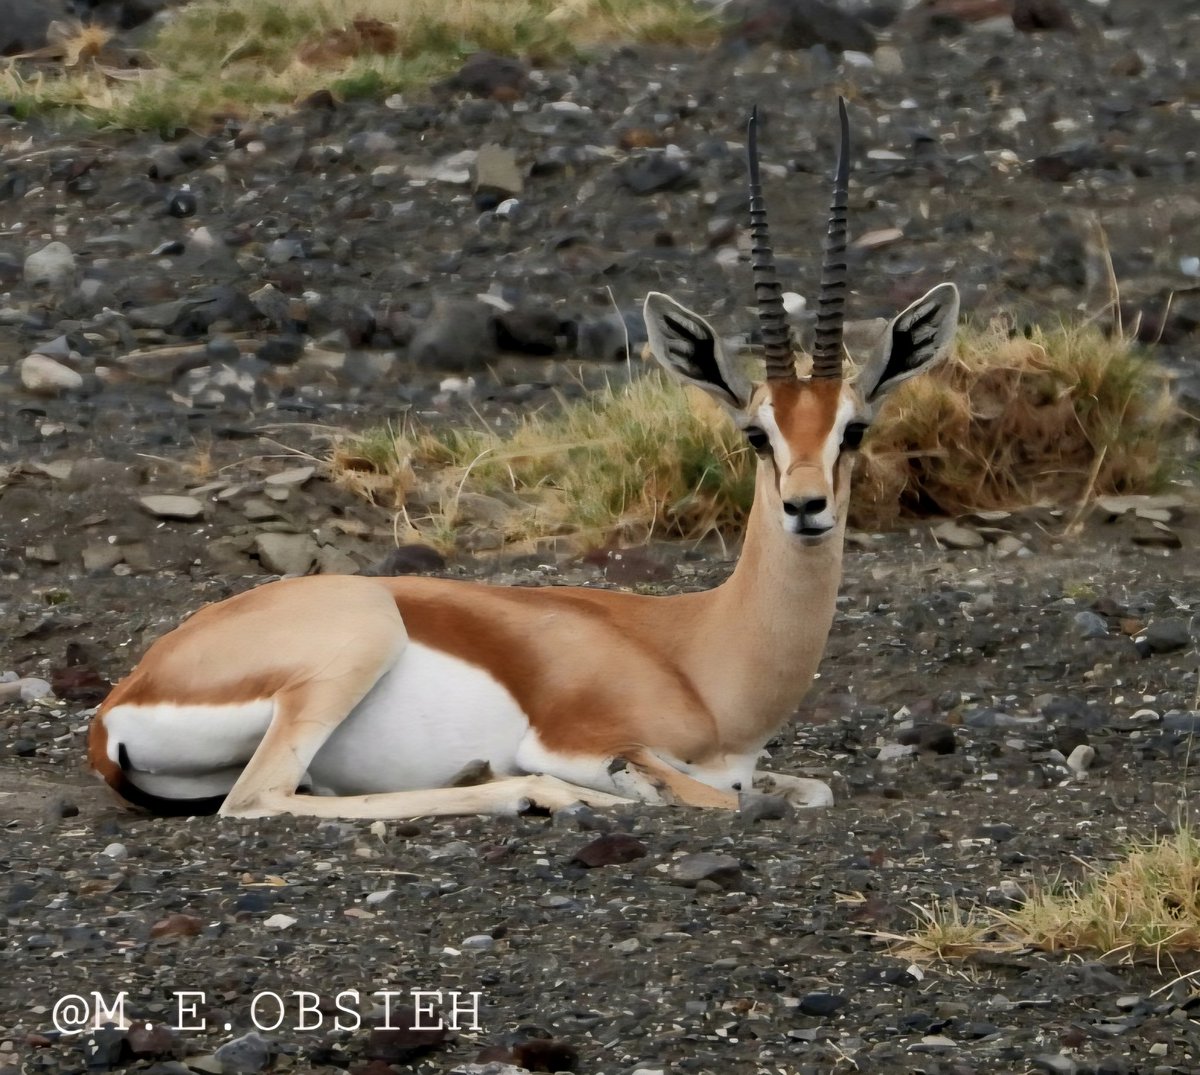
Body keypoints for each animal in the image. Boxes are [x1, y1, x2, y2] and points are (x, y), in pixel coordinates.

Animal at [88, 100, 959, 821]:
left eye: (853, 428)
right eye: (757, 433)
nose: (806, 506)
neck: (700, 652)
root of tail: (120, 701)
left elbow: (808, 787)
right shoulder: (583, 737)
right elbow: (708, 793)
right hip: (354, 645)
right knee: (258, 799)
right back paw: (529, 794)